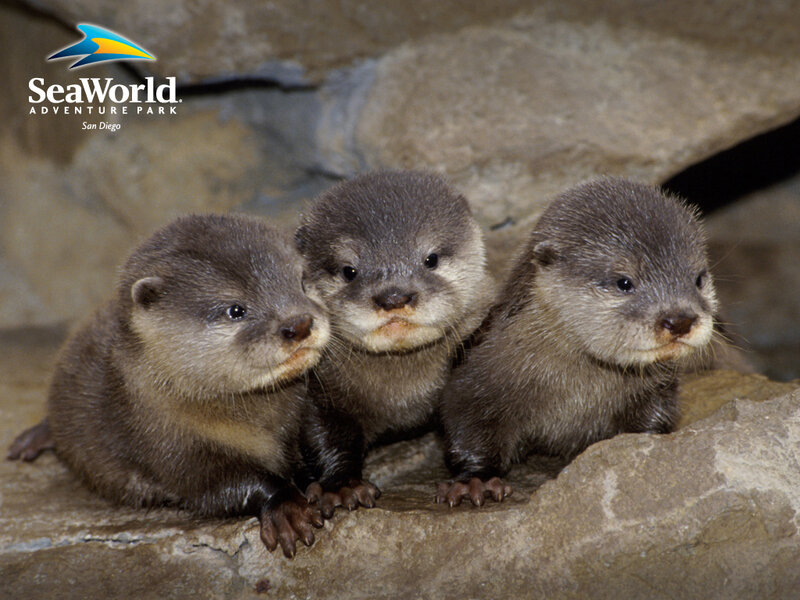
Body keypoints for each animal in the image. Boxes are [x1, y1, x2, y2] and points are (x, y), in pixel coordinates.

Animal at [7, 214, 330, 557]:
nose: (298, 324)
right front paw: (286, 507)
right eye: (236, 310)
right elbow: (225, 486)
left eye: (302, 281)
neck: (262, 424)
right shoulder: (170, 447)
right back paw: (33, 440)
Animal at [295, 170, 494, 517]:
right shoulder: (319, 387)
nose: (394, 296)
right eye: (349, 270)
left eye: (430, 259)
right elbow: (324, 433)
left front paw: (474, 480)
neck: (402, 397)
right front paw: (341, 486)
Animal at [436, 178, 719, 507]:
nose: (679, 320)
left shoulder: (656, 388)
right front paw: (475, 481)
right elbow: (468, 425)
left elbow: (654, 416)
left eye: (698, 278)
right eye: (624, 282)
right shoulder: (475, 378)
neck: (576, 393)